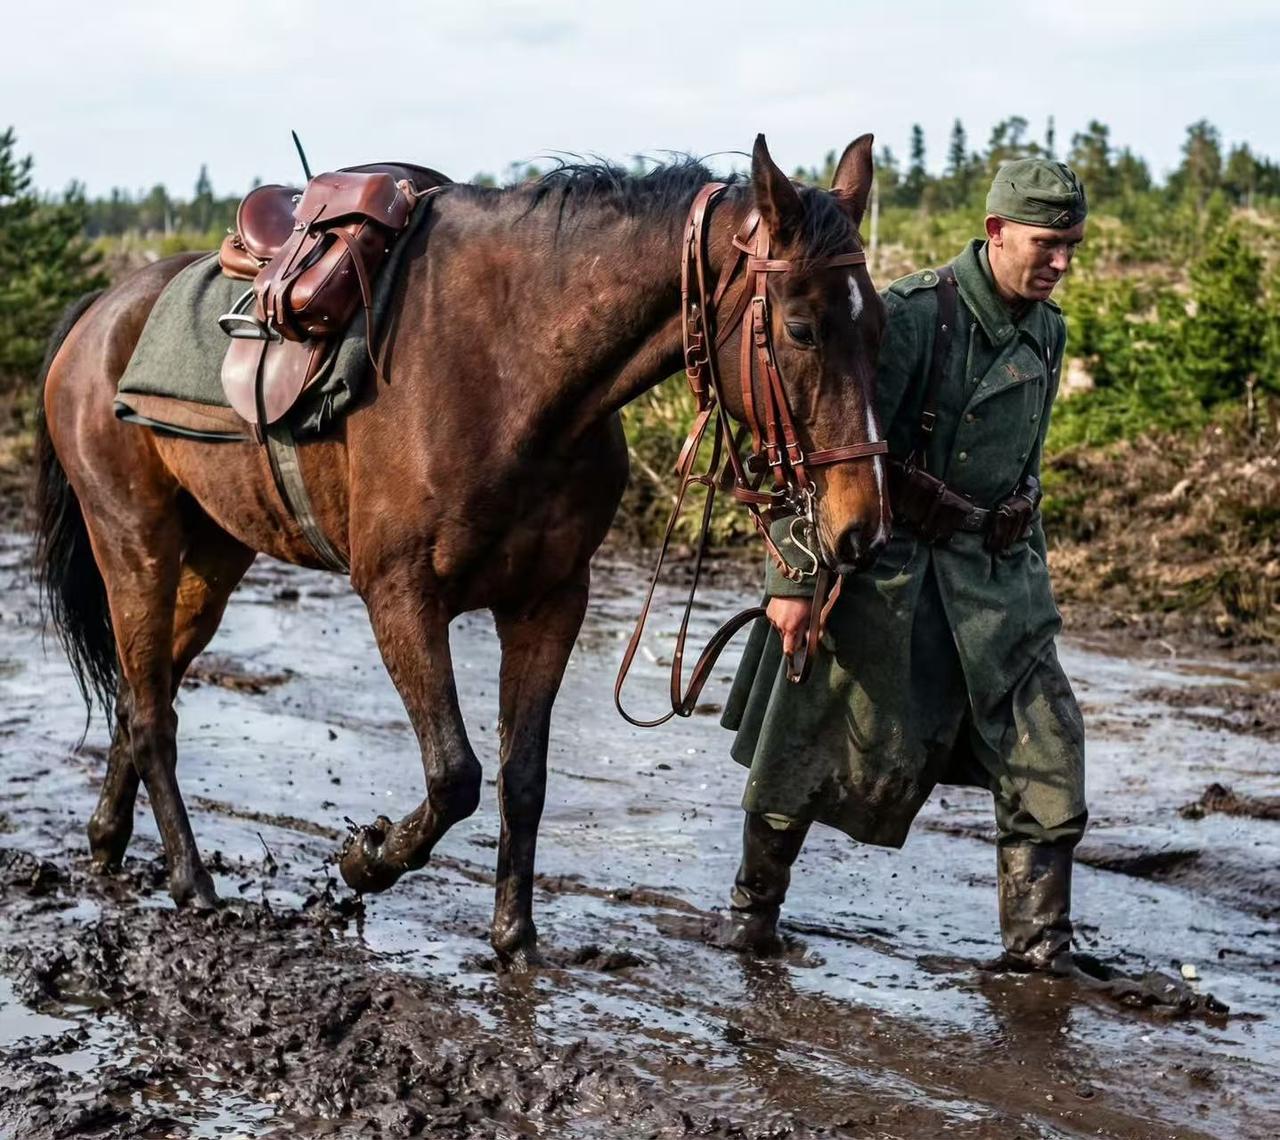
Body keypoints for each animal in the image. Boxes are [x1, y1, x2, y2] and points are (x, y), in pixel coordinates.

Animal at [33, 133, 888, 968]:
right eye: (801, 327)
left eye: (875, 320)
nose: (863, 526)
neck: (511, 371)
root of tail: (101, 311)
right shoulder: (400, 596)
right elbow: (456, 776)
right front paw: (365, 860)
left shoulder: (550, 601)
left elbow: (522, 777)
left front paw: (516, 938)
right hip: (135, 544)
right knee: (151, 714)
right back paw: (192, 882)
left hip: (212, 556)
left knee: (143, 695)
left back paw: (109, 843)